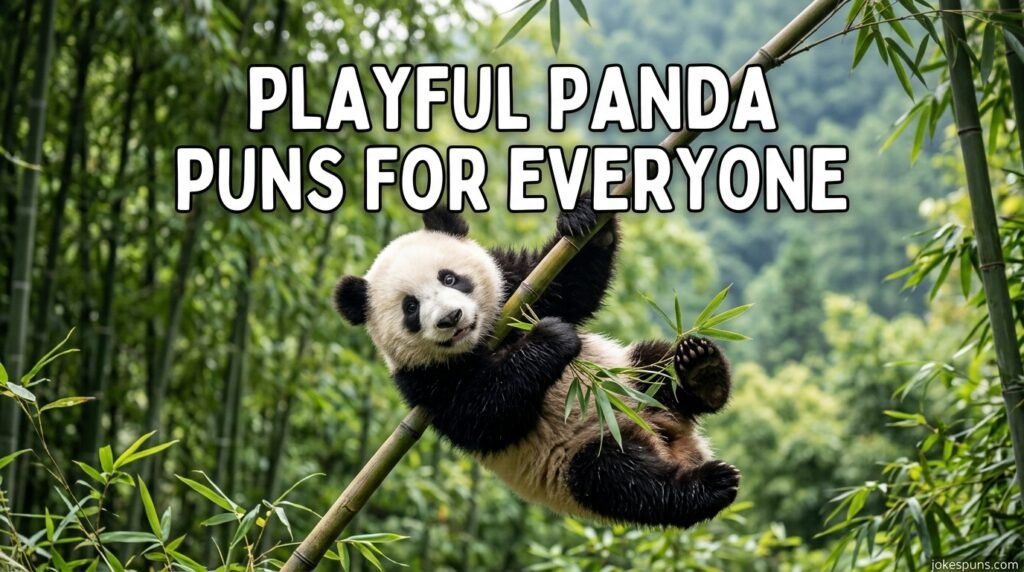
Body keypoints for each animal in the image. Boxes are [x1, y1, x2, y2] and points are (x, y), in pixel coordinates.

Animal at [333, 200, 739, 528]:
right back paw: (710, 485)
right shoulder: (425, 385)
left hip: (629, 378)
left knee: (657, 367)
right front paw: (552, 339)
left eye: (450, 278)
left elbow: (570, 288)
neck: (484, 342)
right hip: (583, 458)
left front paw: (585, 220)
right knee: (623, 482)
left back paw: (701, 371)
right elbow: (485, 414)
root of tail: (672, 441)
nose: (451, 318)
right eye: (411, 307)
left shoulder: (516, 288)